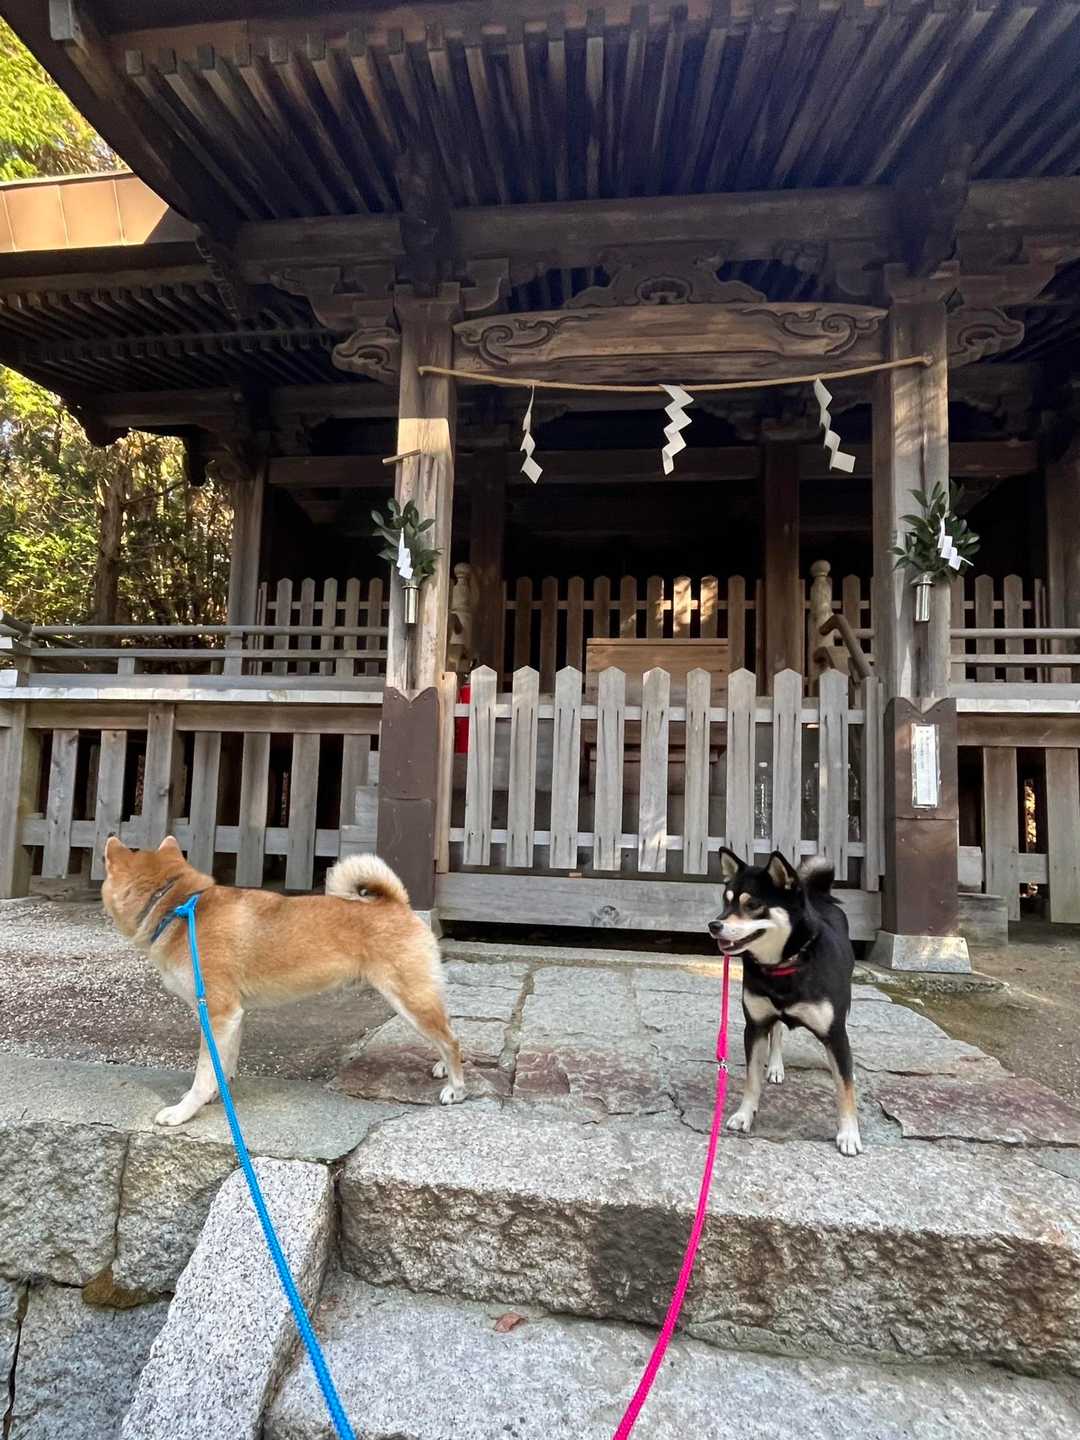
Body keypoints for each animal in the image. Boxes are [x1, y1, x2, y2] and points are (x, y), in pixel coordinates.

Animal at [101, 836, 466, 1126]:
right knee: (446, 1030)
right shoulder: (232, 1017)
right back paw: (440, 1067)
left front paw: (183, 1111)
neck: (179, 908)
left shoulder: (218, 1013)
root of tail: (396, 903)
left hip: (410, 1000)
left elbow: (204, 1073)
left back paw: (456, 1088)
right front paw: (219, 1093)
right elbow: (223, 1064)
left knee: (451, 1040)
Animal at [708, 848, 862, 1156]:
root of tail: (820, 896)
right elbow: (752, 1078)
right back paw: (776, 1067)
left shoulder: (836, 1034)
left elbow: (845, 1086)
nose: (714, 925)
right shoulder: (755, 1026)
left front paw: (850, 1134)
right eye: (726, 901)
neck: (783, 966)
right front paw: (745, 1114)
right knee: (778, 1032)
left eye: (753, 904)